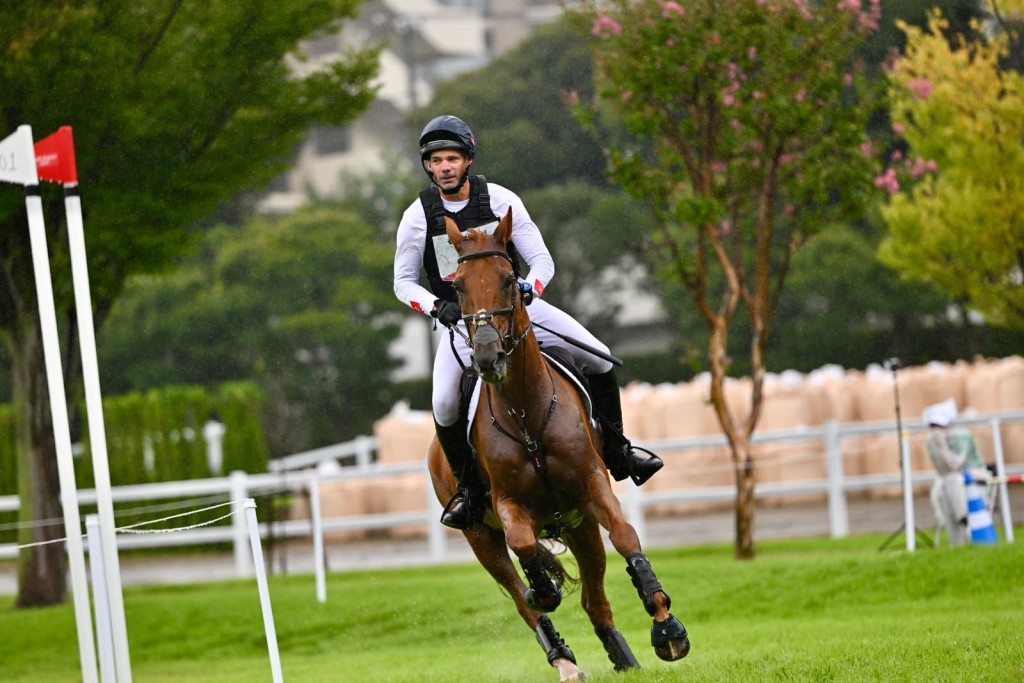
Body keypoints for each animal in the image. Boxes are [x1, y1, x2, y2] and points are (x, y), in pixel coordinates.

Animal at [426, 208, 690, 681]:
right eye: (457, 286)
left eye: (509, 280)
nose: (488, 357)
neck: (528, 415)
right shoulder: (508, 505)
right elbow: (525, 548)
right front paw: (544, 589)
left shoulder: (592, 487)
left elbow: (626, 536)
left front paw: (667, 626)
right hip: (480, 536)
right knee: (523, 601)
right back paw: (563, 657)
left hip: (578, 524)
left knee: (594, 600)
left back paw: (624, 658)